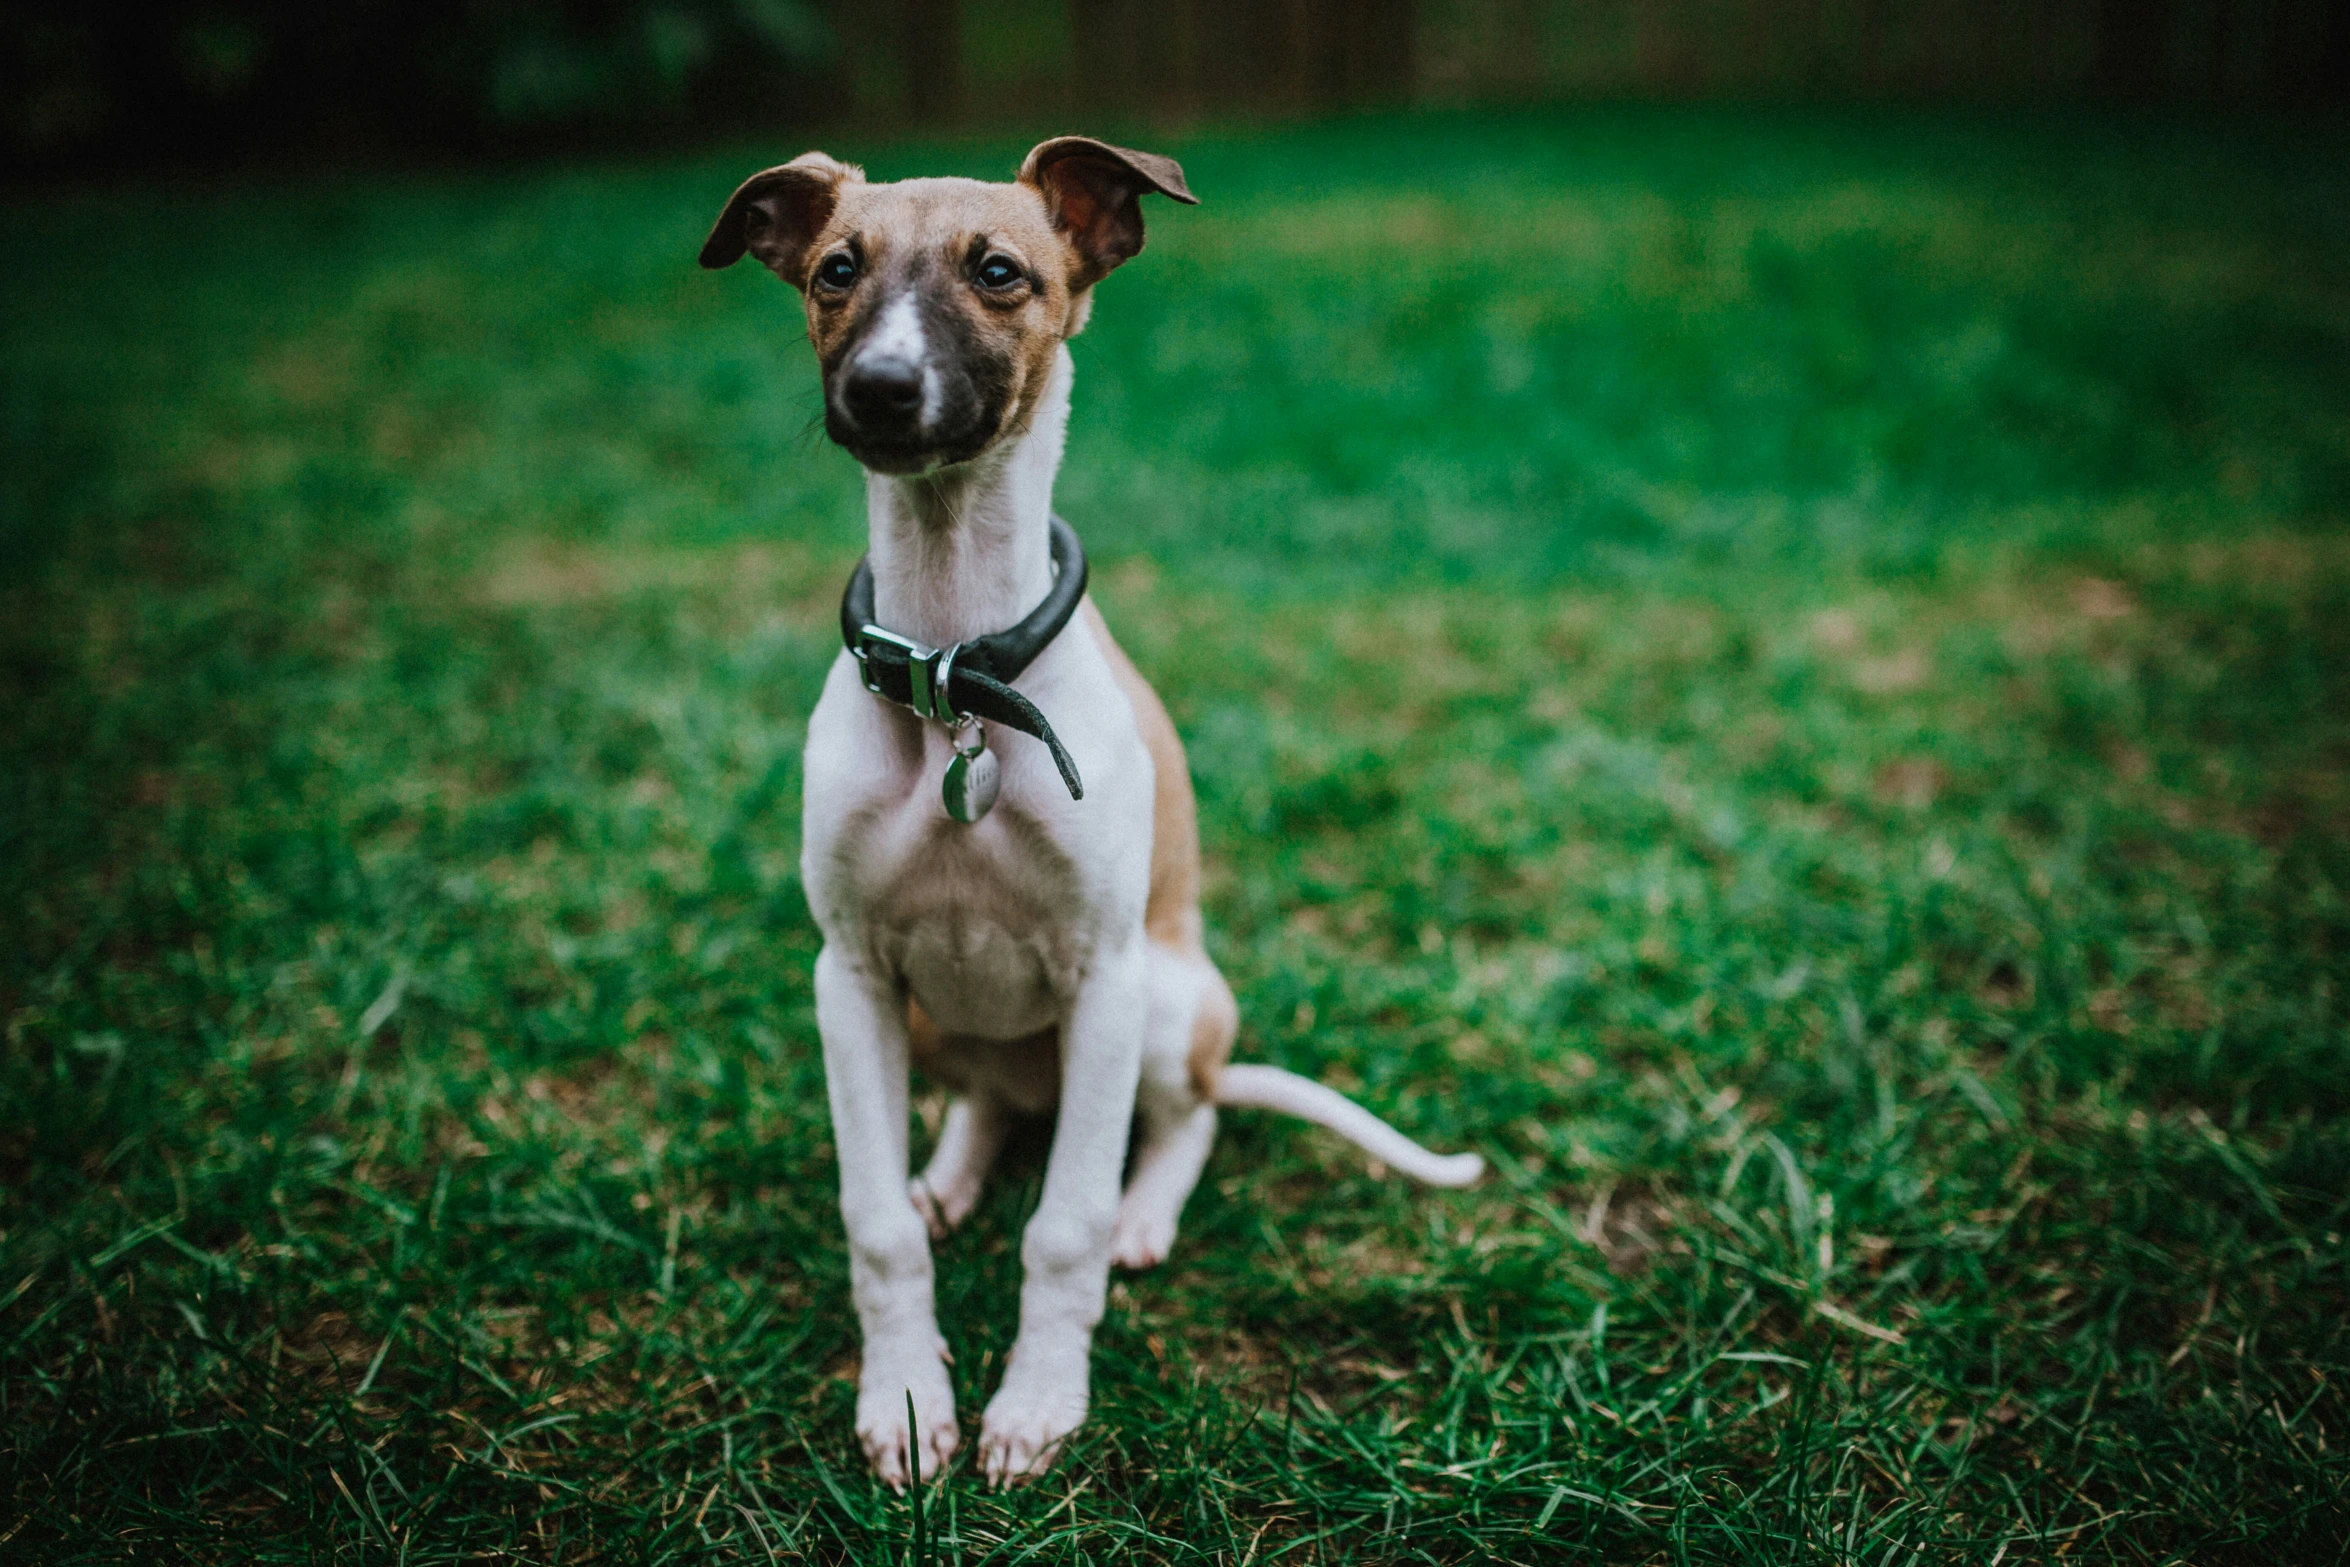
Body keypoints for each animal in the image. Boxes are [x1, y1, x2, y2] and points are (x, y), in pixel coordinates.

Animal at [686, 140, 1485, 1494]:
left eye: (1000, 272)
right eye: (836, 270)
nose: (880, 390)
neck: (956, 666)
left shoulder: (1104, 974)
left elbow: (1063, 1225)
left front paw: (1034, 1405)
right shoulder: (848, 975)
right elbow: (873, 1222)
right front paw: (907, 1400)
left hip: (1166, 1007)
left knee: (1181, 1119)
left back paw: (1144, 1212)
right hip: (932, 1018)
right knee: (991, 1105)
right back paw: (951, 1171)